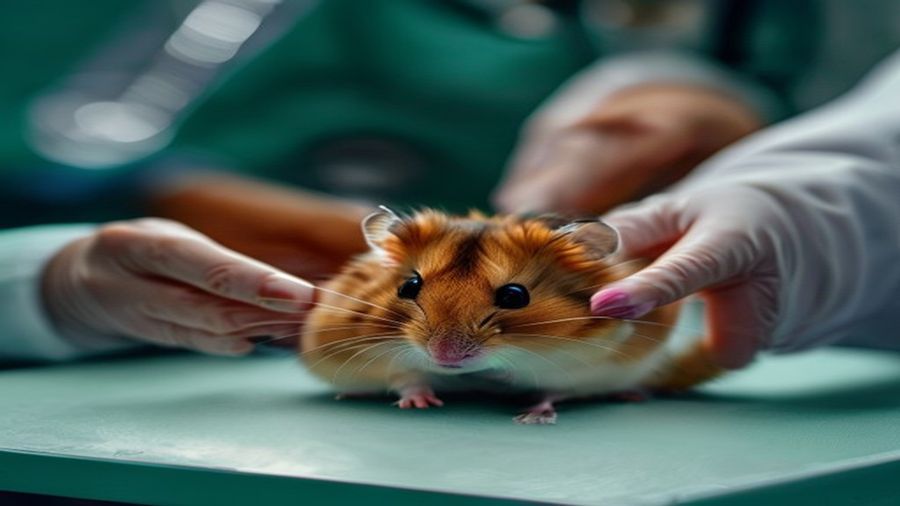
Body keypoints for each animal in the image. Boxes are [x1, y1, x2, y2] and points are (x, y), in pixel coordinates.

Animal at [299, 207, 721, 424]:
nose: (444, 356)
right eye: (408, 287)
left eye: (515, 295)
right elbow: (408, 379)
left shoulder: (581, 368)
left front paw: (530, 414)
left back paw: (630, 394)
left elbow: (556, 392)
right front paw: (421, 404)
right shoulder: (391, 361)